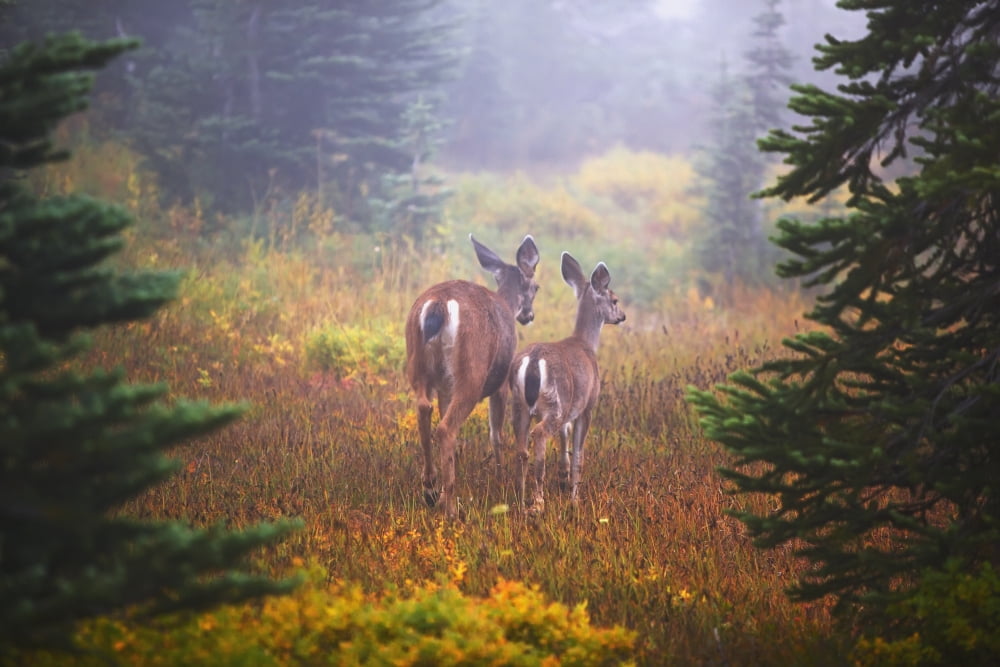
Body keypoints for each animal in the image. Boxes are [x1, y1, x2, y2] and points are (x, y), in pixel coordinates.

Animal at [405, 234, 540, 518]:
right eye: (536, 286)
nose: (528, 315)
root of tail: (439, 305)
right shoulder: (503, 383)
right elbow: (496, 434)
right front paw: (500, 476)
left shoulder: (445, 386)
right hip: (472, 371)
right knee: (446, 428)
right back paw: (450, 507)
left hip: (418, 364)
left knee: (424, 408)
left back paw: (431, 489)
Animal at [509, 251, 626, 514]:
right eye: (614, 299)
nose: (622, 316)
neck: (586, 344)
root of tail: (533, 360)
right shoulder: (587, 406)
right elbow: (579, 454)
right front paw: (574, 496)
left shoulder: (570, 409)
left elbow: (565, 439)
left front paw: (563, 480)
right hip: (553, 403)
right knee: (539, 435)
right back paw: (537, 503)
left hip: (520, 405)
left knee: (521, 448)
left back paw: (520, 498)